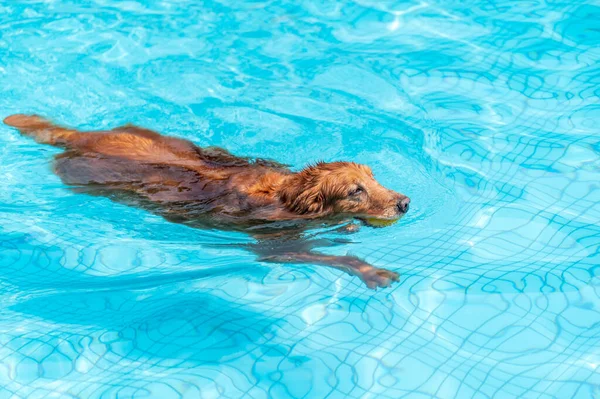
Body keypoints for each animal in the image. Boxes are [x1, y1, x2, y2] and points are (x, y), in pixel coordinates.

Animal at [2, 114, 410, 290]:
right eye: (355, 190)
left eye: (374, 178)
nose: (405, 202)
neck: (285, 196)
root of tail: (82, 137)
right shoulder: (275, 246)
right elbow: (335, 257)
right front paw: (369, 270)